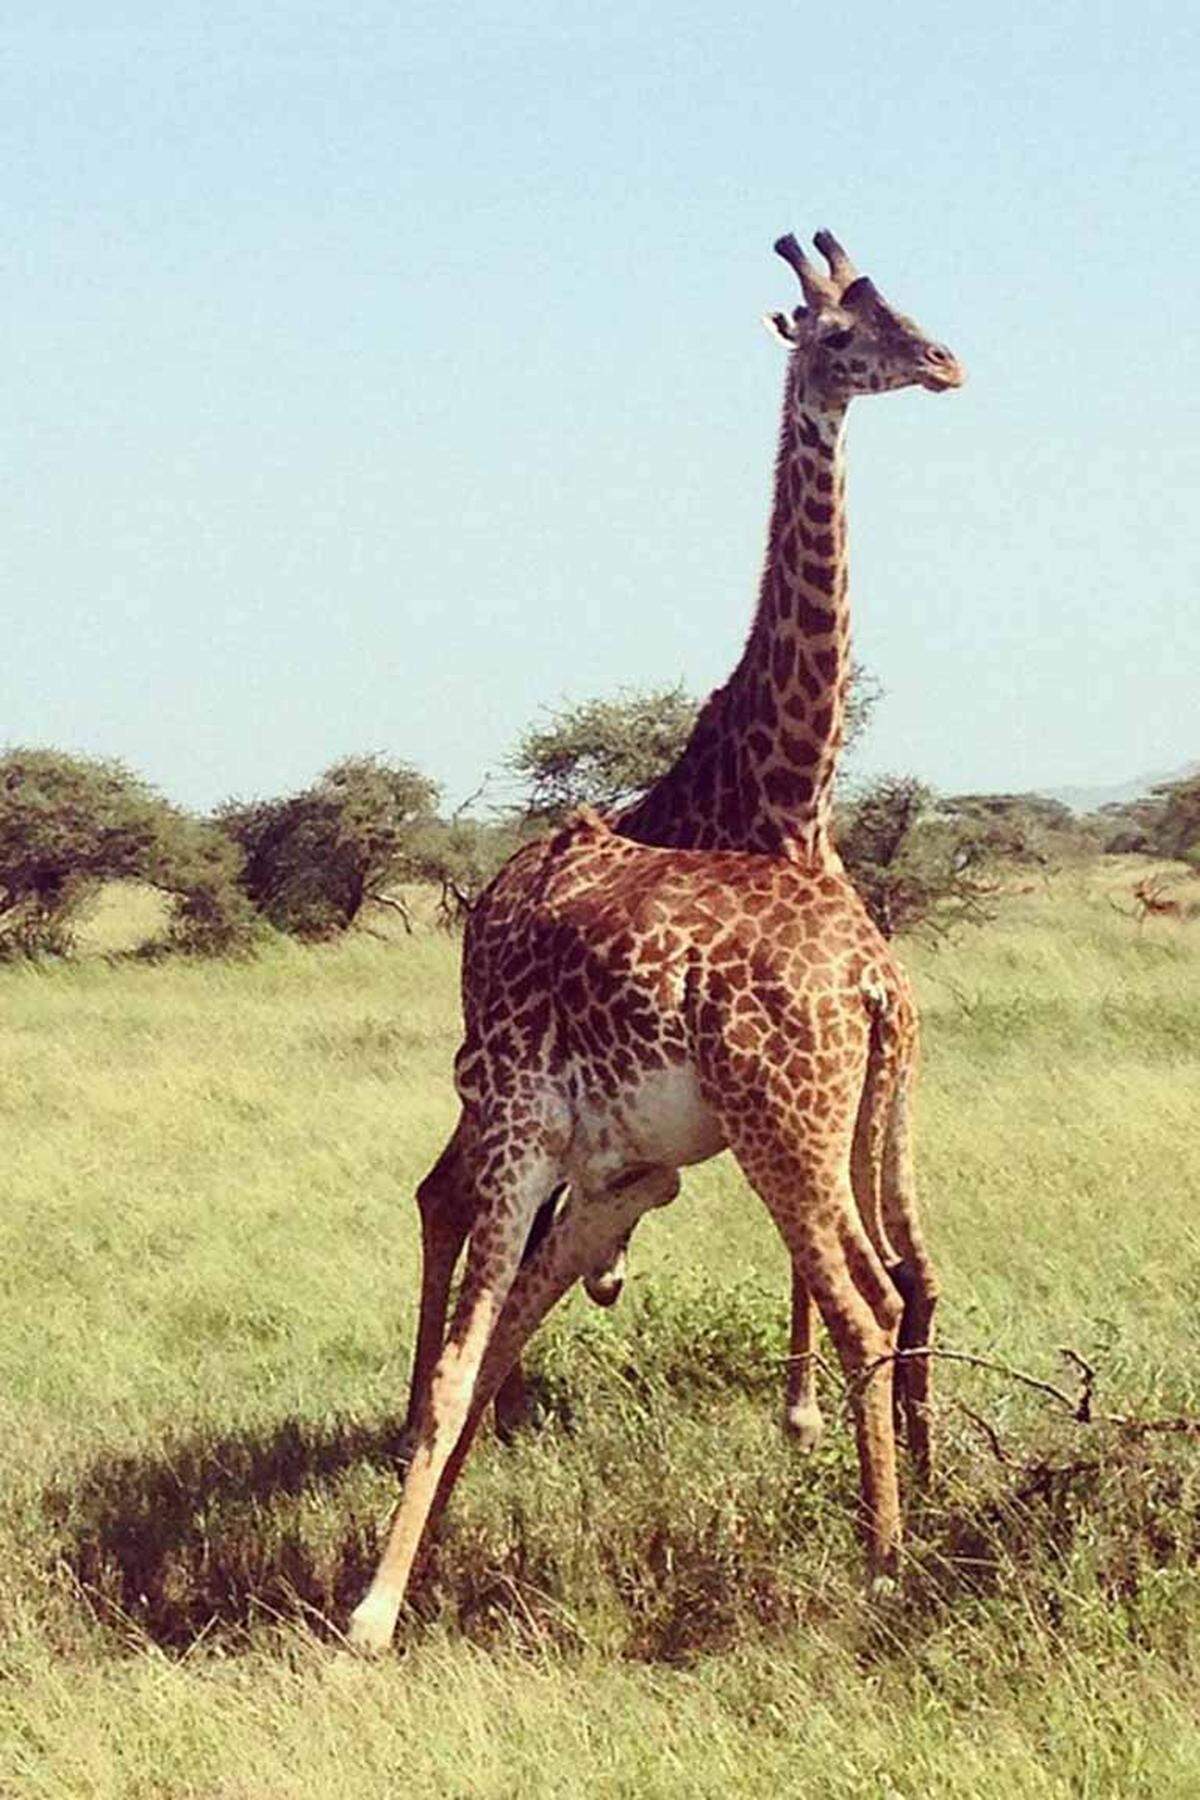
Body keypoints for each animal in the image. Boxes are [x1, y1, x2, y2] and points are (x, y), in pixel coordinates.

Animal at [349, 228, 964, 1648]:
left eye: (899, 306)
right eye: (839, 332)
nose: (947, 360)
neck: (789, 794)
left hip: (759, 1120)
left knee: (884, 1287)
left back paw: (892, 1538)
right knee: (447, 1210)